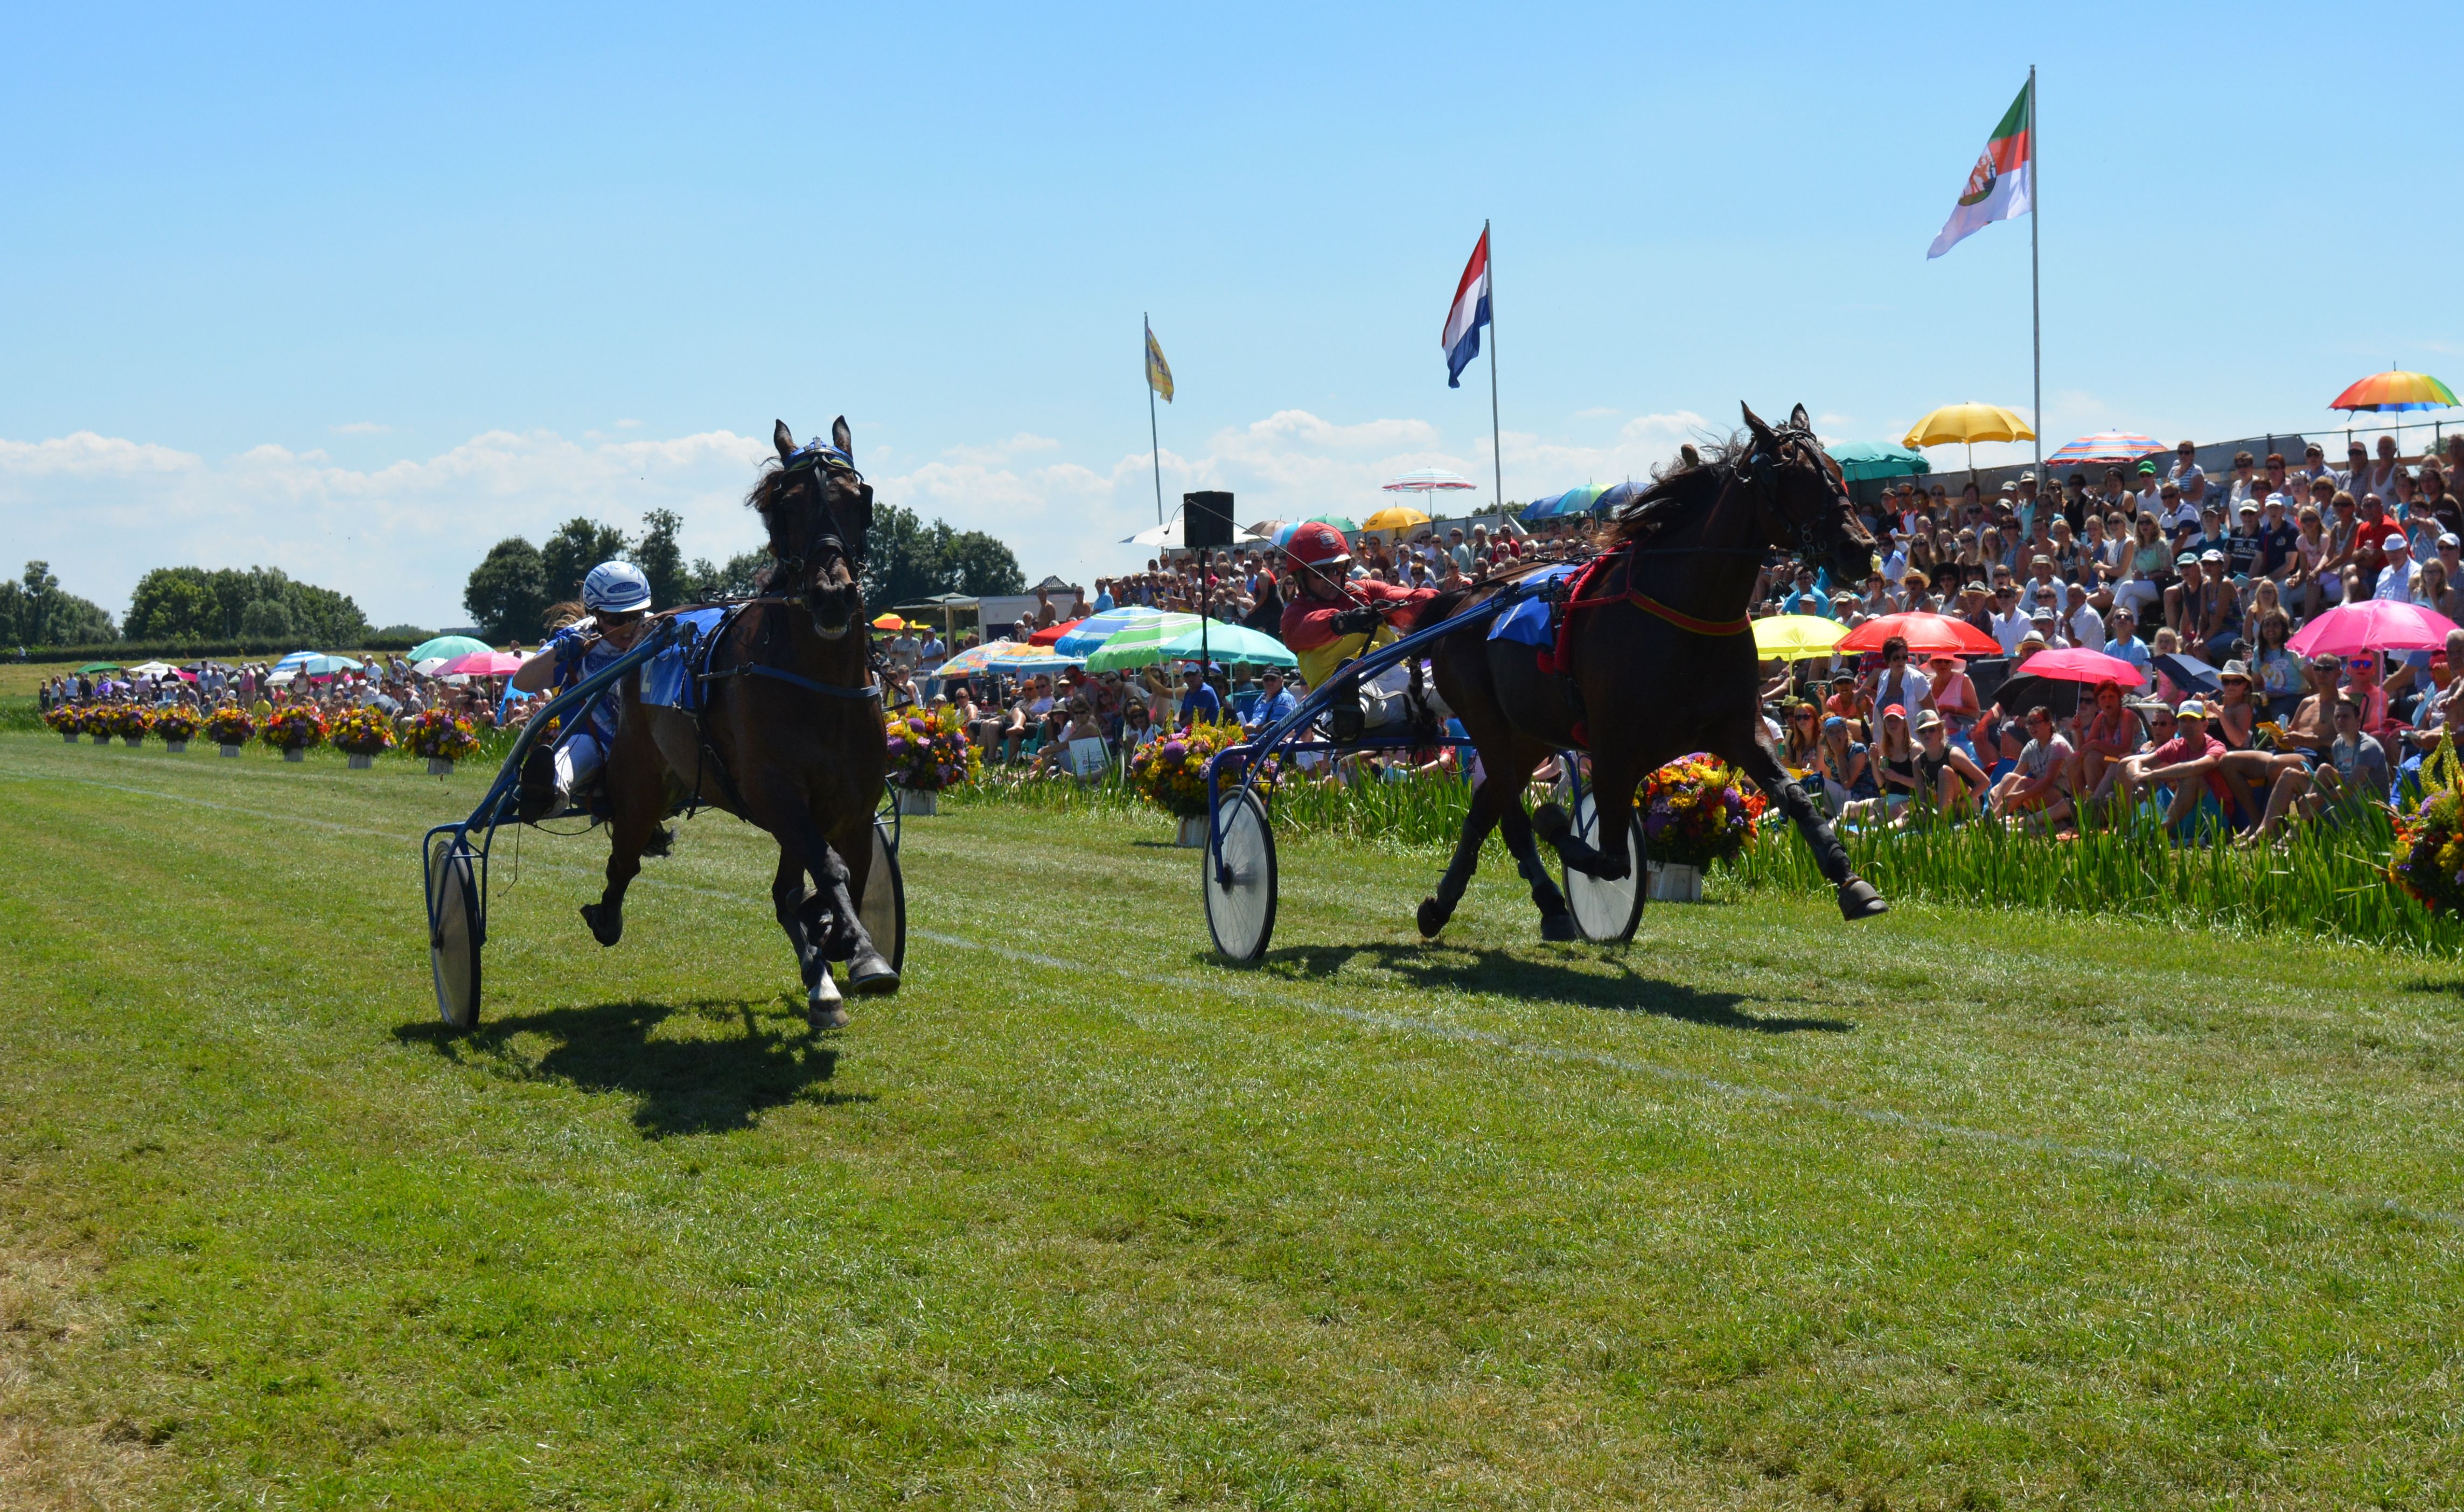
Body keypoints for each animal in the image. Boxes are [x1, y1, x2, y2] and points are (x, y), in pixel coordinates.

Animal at [581, 418, 902, 1029]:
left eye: (860, 500)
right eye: (783, 507)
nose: (832, 596)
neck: (819, 686)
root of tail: (650, 628)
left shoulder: (850, 806)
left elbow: (831, 881)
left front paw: (843, 945)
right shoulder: (776, 789)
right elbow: (827, 873)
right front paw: (853, 947)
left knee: (785, 889)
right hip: (639, 779)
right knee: (624, 857)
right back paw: (605, 917)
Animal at [1409, 409, 1882, 940]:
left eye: (1837, 470)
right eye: (1797, 476)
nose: (1859, 548)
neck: (1688, 610)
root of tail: (1466, 598)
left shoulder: (1739, 727)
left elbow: (1796, 795)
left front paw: (1852, 882)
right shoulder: (1613, 746)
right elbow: (1611, 857)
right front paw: (1556, 825)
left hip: (1527, 733)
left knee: (1483, 809)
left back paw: (1445, 906)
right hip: (1486, 721)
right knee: (1509, 818)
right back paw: (1545, 900)